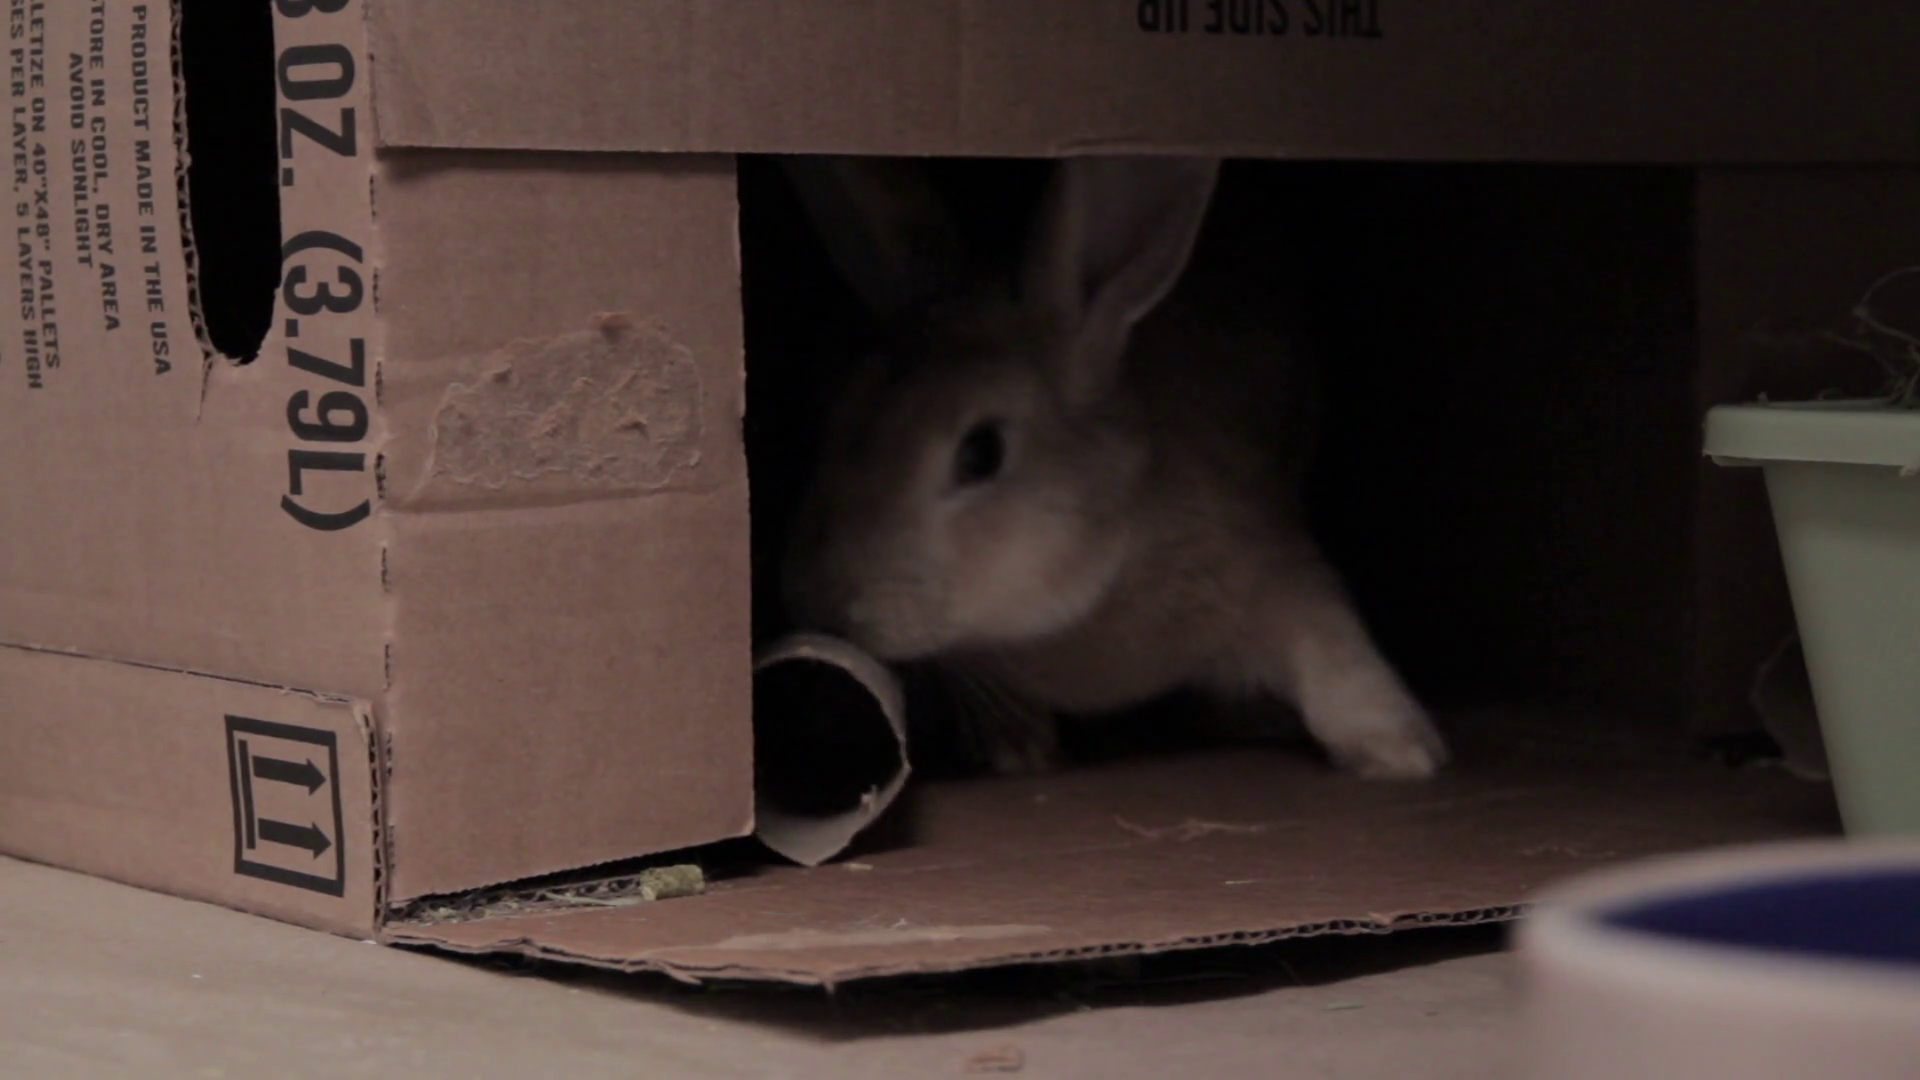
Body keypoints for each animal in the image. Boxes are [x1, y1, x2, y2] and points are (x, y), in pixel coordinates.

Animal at [776, 153, 1449, 780]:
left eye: (981, 453)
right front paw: (1020, 747)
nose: (823, 596)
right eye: (839, 413)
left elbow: (1328, 643)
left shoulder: (1269, 564)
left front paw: (1403, 751)